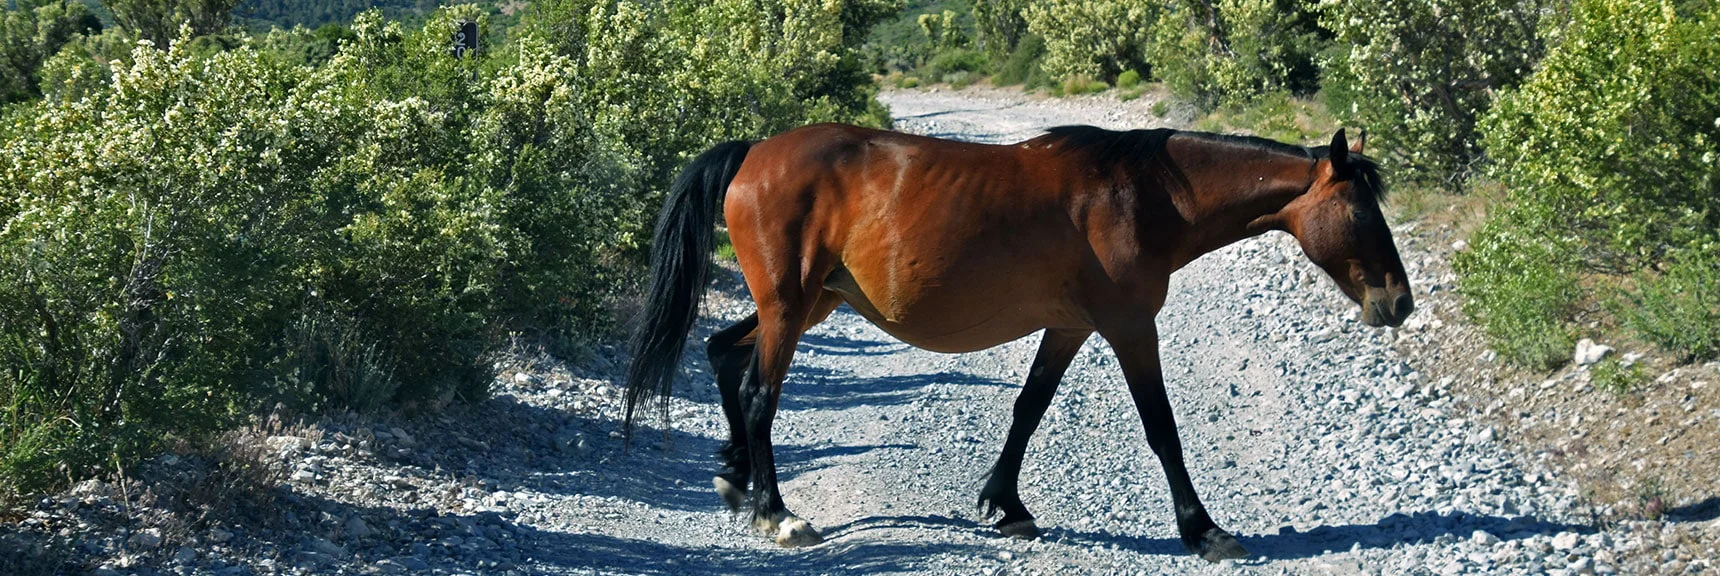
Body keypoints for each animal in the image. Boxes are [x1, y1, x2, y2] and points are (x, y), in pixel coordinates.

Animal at [622, 123, 1412, 562]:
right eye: (1359, 212)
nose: (1397, 302)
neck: (1145, 195)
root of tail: (754, 152)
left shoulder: (1069, 326)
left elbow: (1028, 409)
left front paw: (1006, 505)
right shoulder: (1130, 326)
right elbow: (1162, 429)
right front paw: (1204, 531)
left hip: (808, 303)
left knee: (724, 355)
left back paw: (735, 481)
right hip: (790, 307)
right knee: (759, 393)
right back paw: (777, 514)